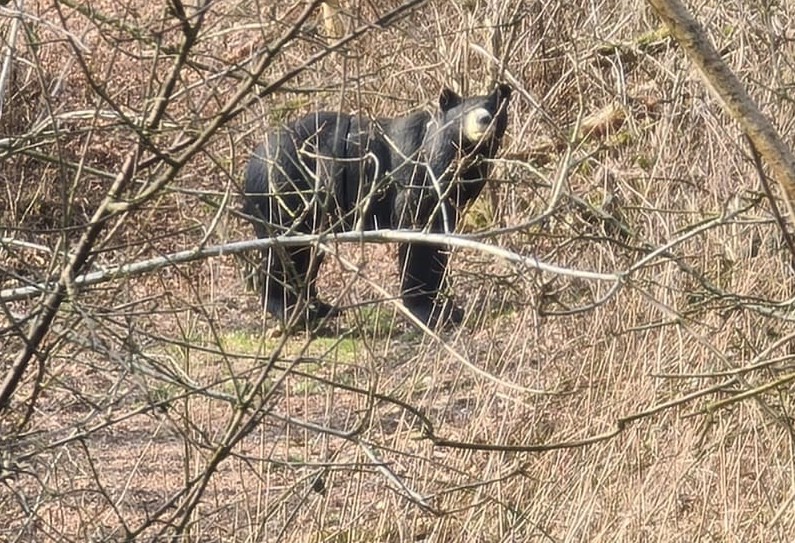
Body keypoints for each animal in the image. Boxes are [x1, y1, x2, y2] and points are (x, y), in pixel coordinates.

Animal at [243, 84, 512, 330]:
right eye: (462, 114)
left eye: (493, 109)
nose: (484, 120)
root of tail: (251, 164)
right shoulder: (413, 178)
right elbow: (416, 239)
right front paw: (429, 312)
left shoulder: (450, 199)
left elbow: (438, 242)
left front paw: (450, 309)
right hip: (285, 192)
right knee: (284, 253)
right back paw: (294, 314)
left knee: (304, 255)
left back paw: (319, 307)